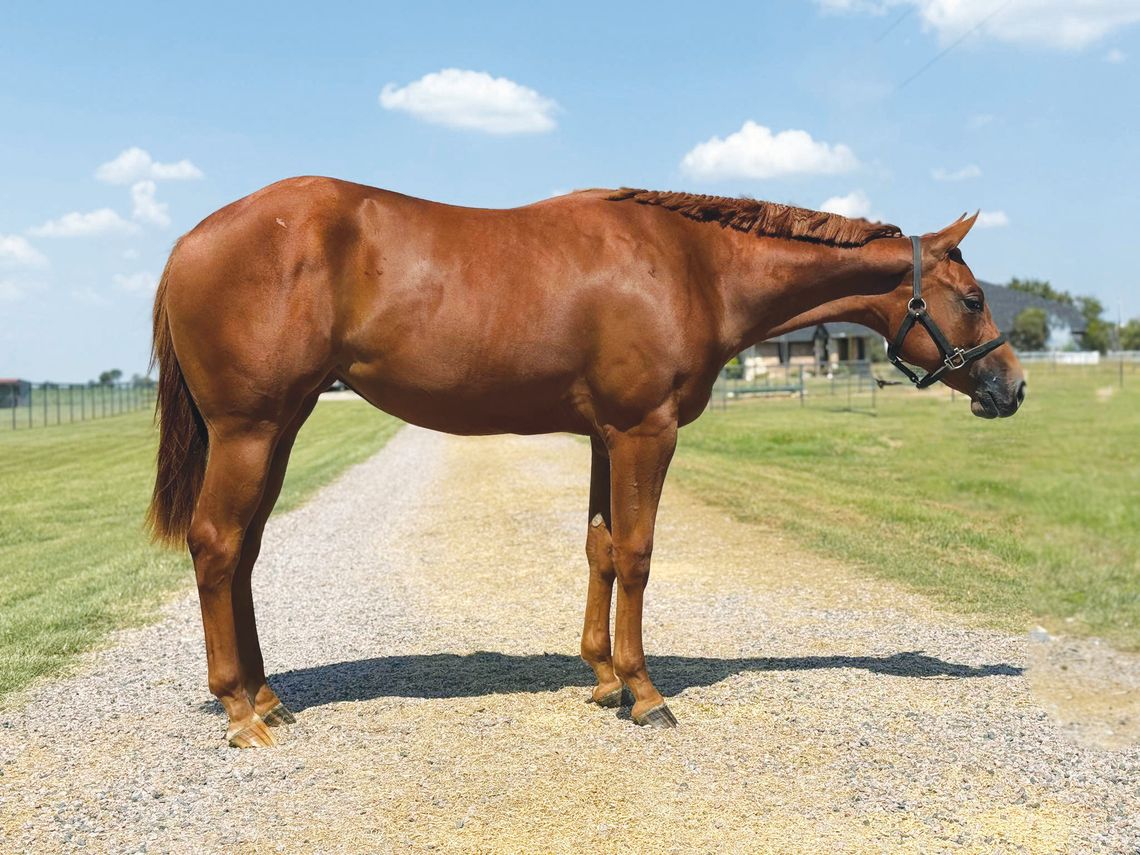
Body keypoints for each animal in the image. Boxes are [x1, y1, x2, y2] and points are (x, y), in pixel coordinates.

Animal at [147, 179, 1025, 747]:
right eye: (974, 297)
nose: (1012, 386)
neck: (692, 263)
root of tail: (189, 241)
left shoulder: (607, 435)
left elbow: (601, 547)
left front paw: (603, 679)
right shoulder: (646, 431)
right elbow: (637, 553)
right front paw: (645, 692)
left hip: (280, 427)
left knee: (244, 553)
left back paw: (268, 696)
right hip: (251, 429)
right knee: (217, 545)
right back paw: (241, 712)